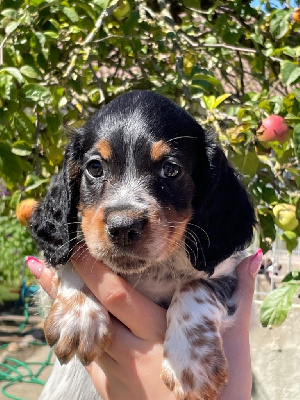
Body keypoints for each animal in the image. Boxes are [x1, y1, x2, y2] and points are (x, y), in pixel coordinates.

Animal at [29, 91, 255, 400]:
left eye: (171, 169)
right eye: (95, 167)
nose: (124, 228)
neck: (150, 271)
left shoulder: (227, 271)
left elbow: (195, 287)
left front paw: (192, 362)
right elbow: (79, 256)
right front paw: (78, 316)